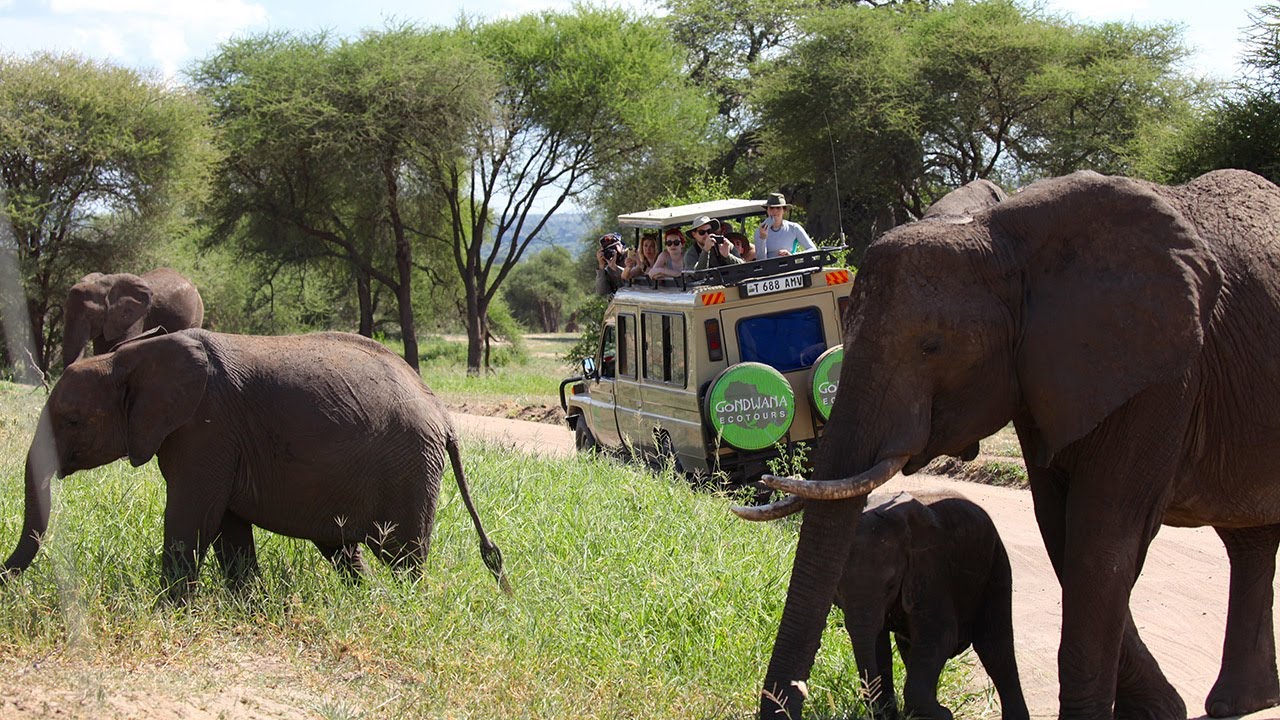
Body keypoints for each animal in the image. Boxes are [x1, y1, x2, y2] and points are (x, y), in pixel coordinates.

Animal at [1, 327, 509, 597]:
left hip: (409, 470)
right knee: (344, 549)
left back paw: (405, 605)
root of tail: (443, 414)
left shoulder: (206, 430)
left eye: (71, 421)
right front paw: (246, 603)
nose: (7, 584)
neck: (131, 357)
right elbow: (227, 526)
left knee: (403, 557)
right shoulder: (214, 439)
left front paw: (168, 610)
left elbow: (192, 517)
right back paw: (367, 600)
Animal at [839, 486, 1029, 717]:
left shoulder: (932, 571)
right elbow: (878, 642)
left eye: (891, 585)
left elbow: (941, 634)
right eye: (838, 590)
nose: (884, 713)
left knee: (995, 648)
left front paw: (943, 714)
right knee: (908, 647)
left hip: (995, 564)